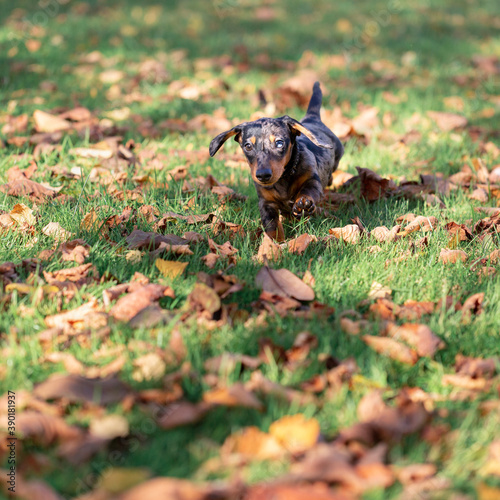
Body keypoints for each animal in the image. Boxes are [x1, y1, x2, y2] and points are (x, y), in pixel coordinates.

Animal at [208, 81, 344, 241]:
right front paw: (275, 244)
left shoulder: (312, 179)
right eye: (248, 146)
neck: (283, 178)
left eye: (279, 143)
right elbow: (272, 227)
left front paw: (303, 203)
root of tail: (312, 118)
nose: (263, 175)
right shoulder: (267, 203)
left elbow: (308, 189)